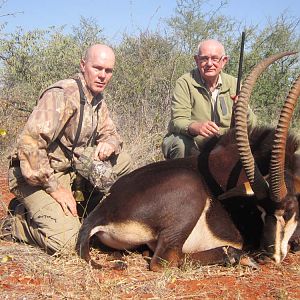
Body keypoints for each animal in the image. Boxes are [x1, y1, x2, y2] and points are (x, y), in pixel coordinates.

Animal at [76, 51, 298, 270]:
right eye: (260, 210)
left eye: (289, 211)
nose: (269, 256)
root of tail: (101, 211)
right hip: (189, 190)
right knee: (163, 260)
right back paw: (237, 255)